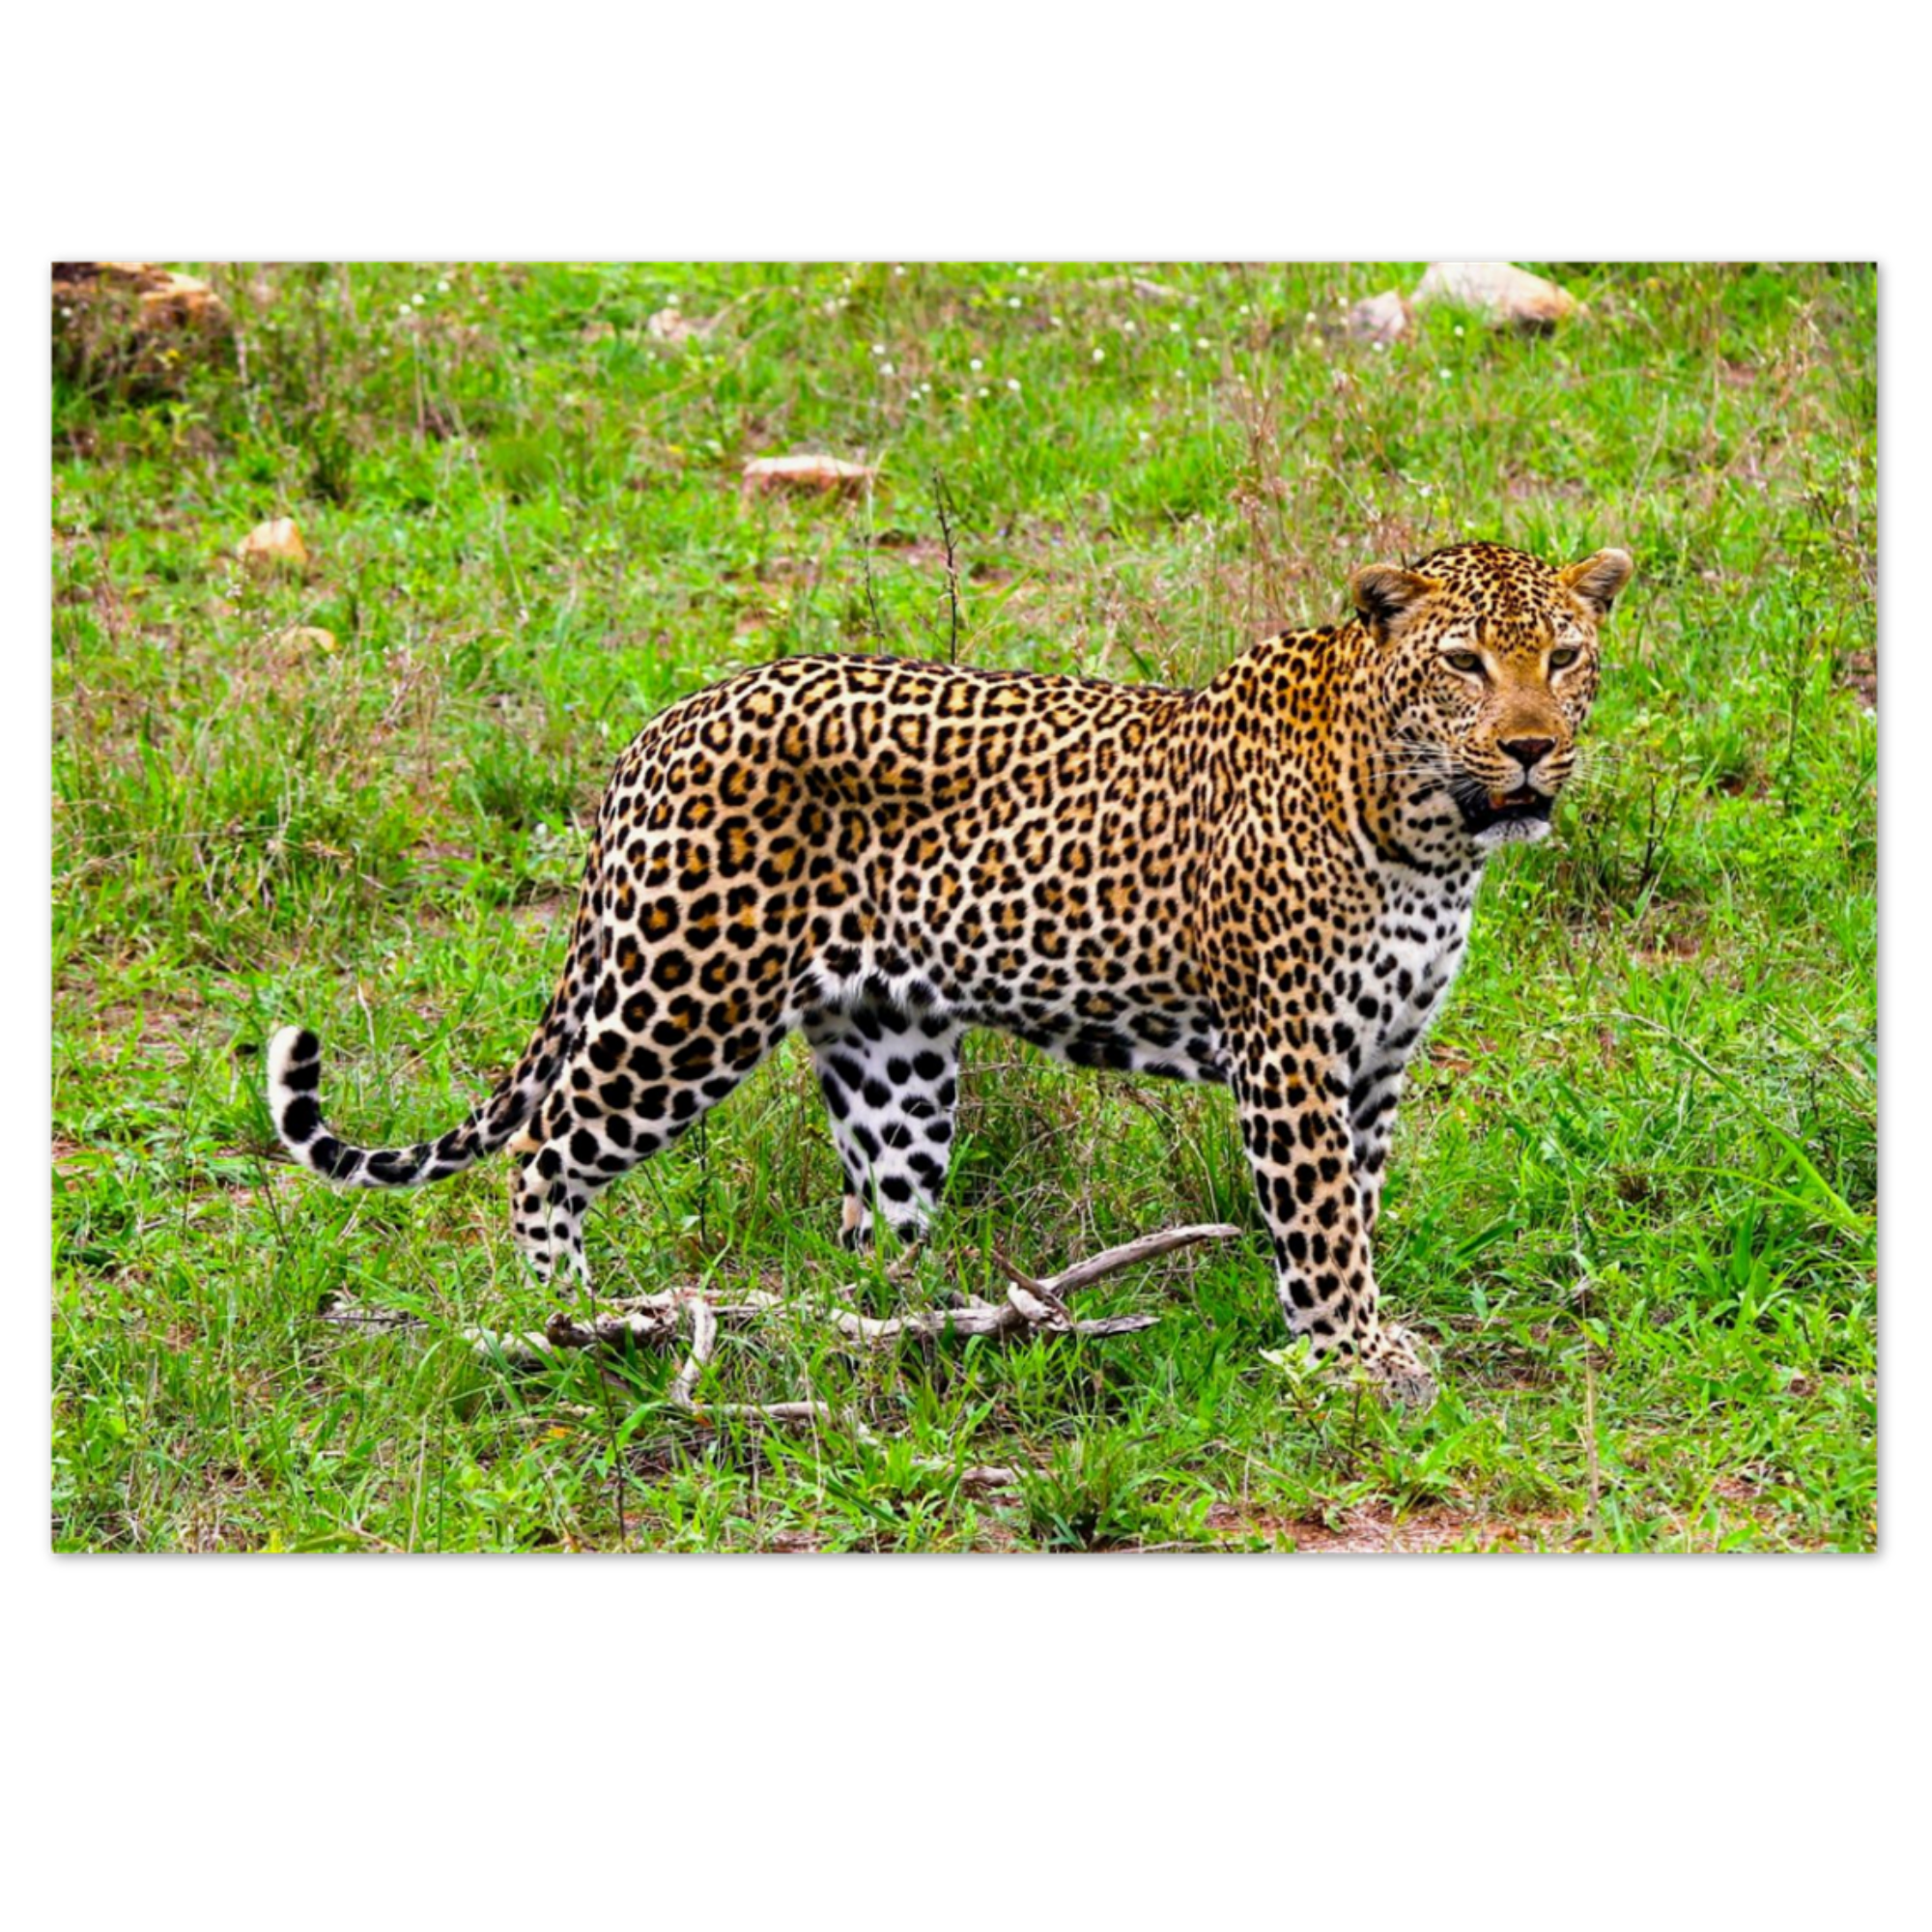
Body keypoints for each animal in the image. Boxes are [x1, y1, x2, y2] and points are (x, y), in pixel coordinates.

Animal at [268, 539, 1632, 1403]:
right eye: (1462, 663)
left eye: (1563, 656)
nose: (1529, 748)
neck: (1430, 832)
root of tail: (658, 728)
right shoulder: (1289, 1050)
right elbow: (1320, 1224)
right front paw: (1353, 1360)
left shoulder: (1379, 1056)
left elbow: (1357, 1203)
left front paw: (1360, 1336)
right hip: (684, 1001)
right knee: (546, 1148)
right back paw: (571, 1315)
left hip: (890, 1055)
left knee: (870, 1220)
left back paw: (911, 1325)